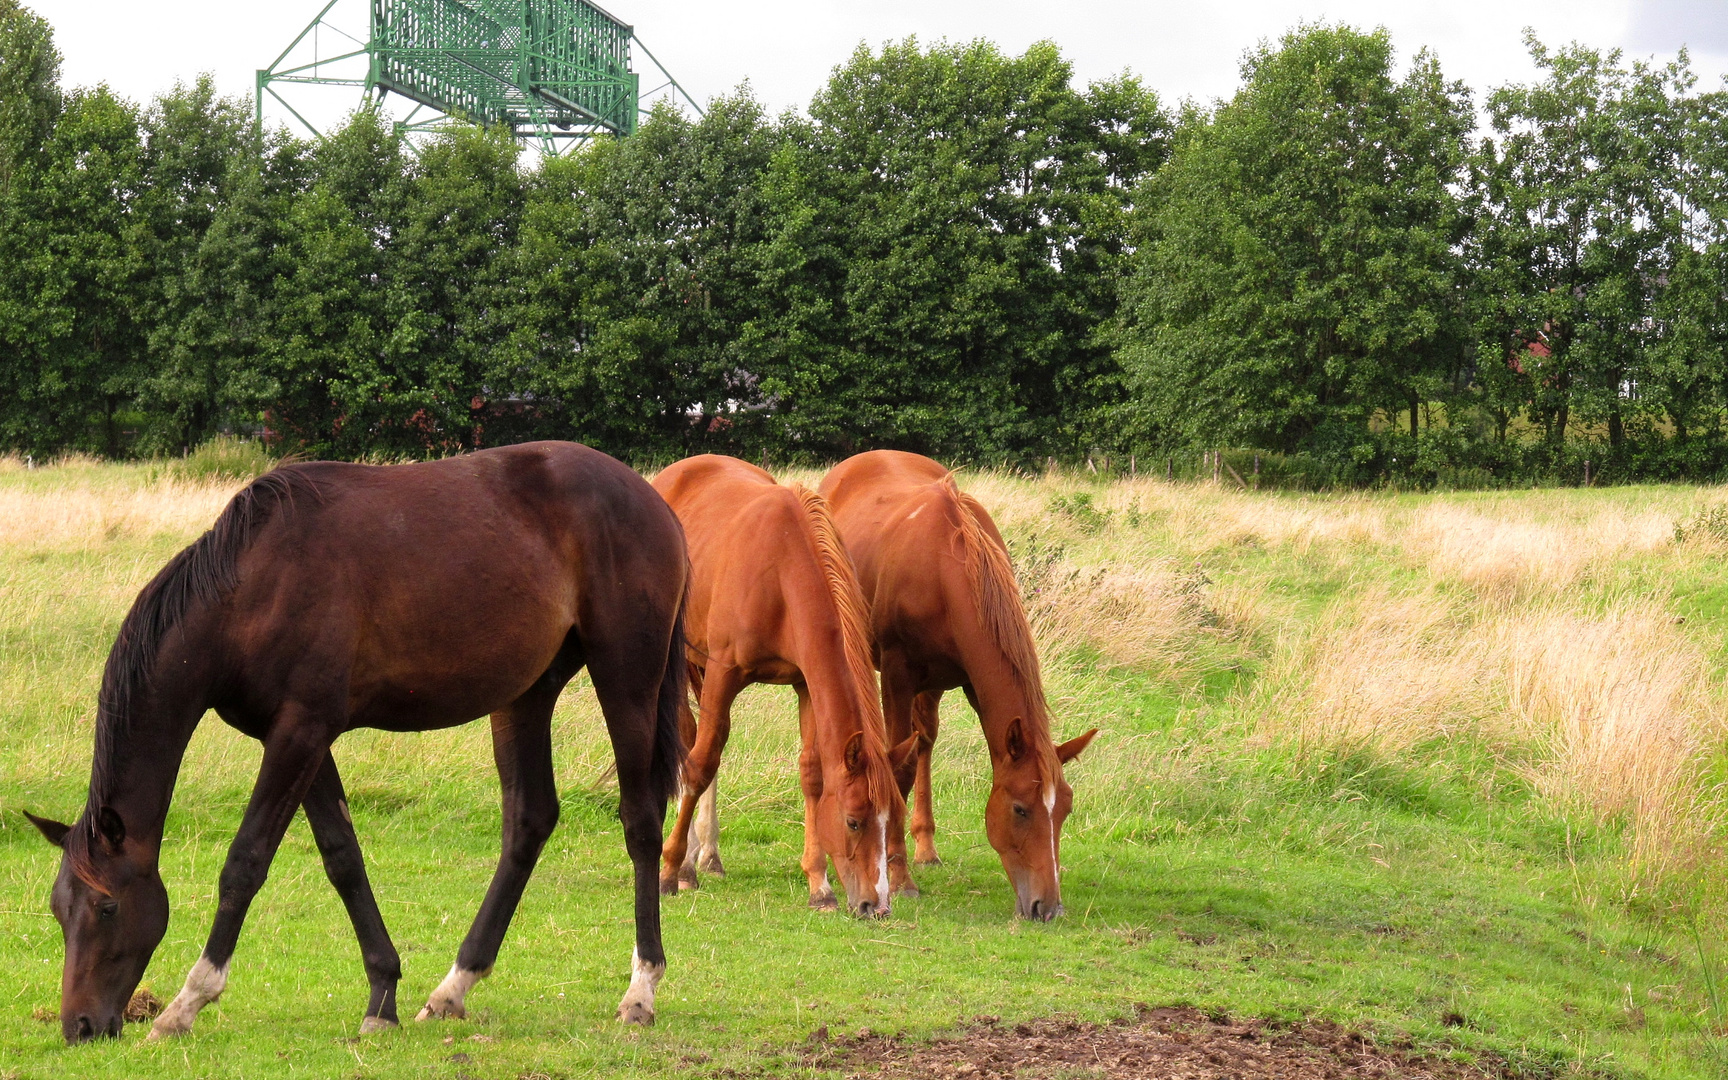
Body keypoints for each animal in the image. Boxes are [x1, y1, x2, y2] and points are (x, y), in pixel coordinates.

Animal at [23, 442, 687, 1043]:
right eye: (60, 909)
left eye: (107, 907)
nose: (80, 1026)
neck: (254, 587)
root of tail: (653, 499)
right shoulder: (301, 740)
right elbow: (343, 857)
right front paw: (382, 995)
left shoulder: (299, 734)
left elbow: (245, 862)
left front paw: (186, 1004)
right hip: (525, 696)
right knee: (529, 821)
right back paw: (452, 989)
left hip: (626, 680)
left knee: (640, 820)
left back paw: (641, 990)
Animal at [649, 449, 919, 912]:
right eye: (854, 821)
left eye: (894, 819)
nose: (876, 906)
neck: (781, 571)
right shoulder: (723, 672)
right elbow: (701, 764)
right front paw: (669, 869)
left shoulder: (806, 683)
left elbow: (812, 773)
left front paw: (820, 885)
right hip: (681, 660)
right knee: (691, 742)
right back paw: (685, 864)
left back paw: (709, 855)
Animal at [819, 449, 1092, 919]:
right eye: (1021, 810)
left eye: (1066, 809)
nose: (1048, 907)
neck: (945, 567)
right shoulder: (897, 675)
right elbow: (898, 774)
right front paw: (899, 877)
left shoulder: (972, 685)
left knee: (926, 739)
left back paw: (926, 847)